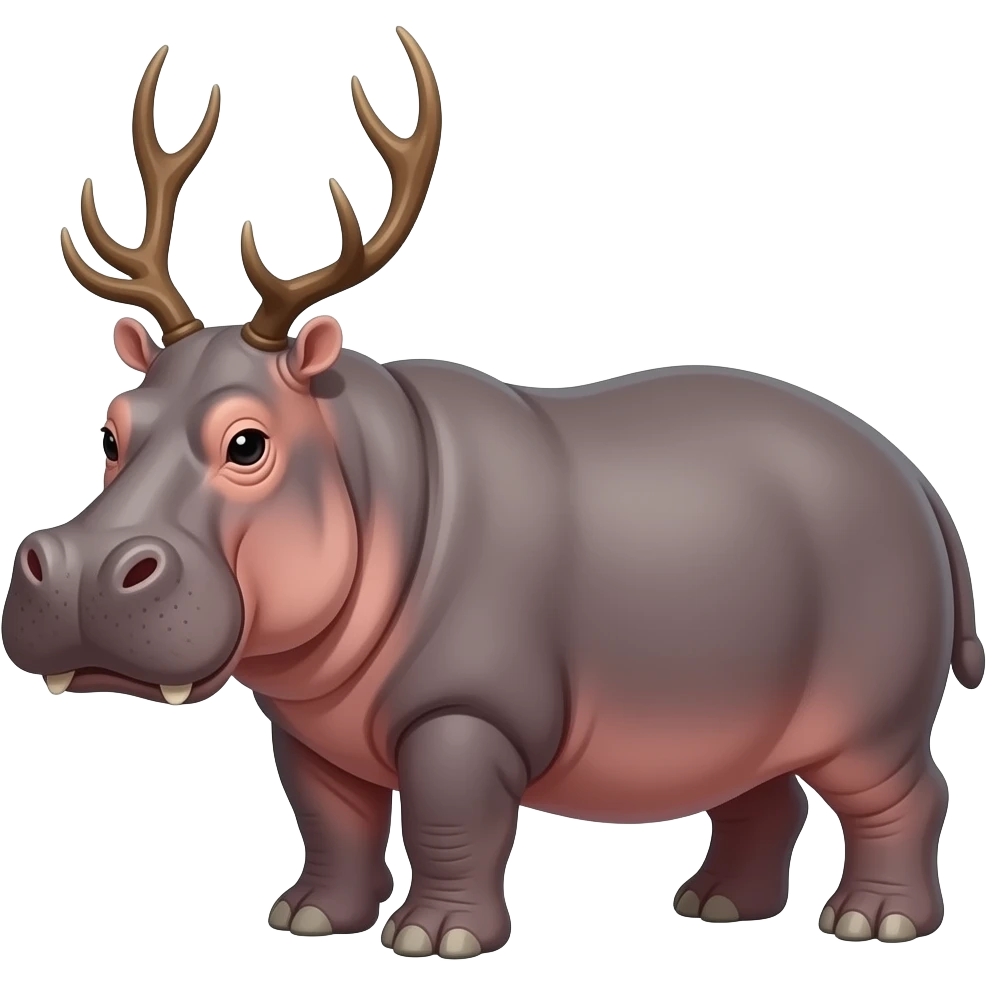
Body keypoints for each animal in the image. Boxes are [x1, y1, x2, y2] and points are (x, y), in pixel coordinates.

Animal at [3, 29, 983, 959]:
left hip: (868, 715)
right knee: (762, 792)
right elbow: (332, 823)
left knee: (905, 793)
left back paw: (874, 923)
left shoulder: (466, 713)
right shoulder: (310, 732)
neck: (365, 462)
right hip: (749, 700)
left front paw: (435, 940)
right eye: (112, 427)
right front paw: (310, 919)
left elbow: (451, 822)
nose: (75, 568)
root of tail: (910, 474)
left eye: (248, 442)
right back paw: (716, 908)